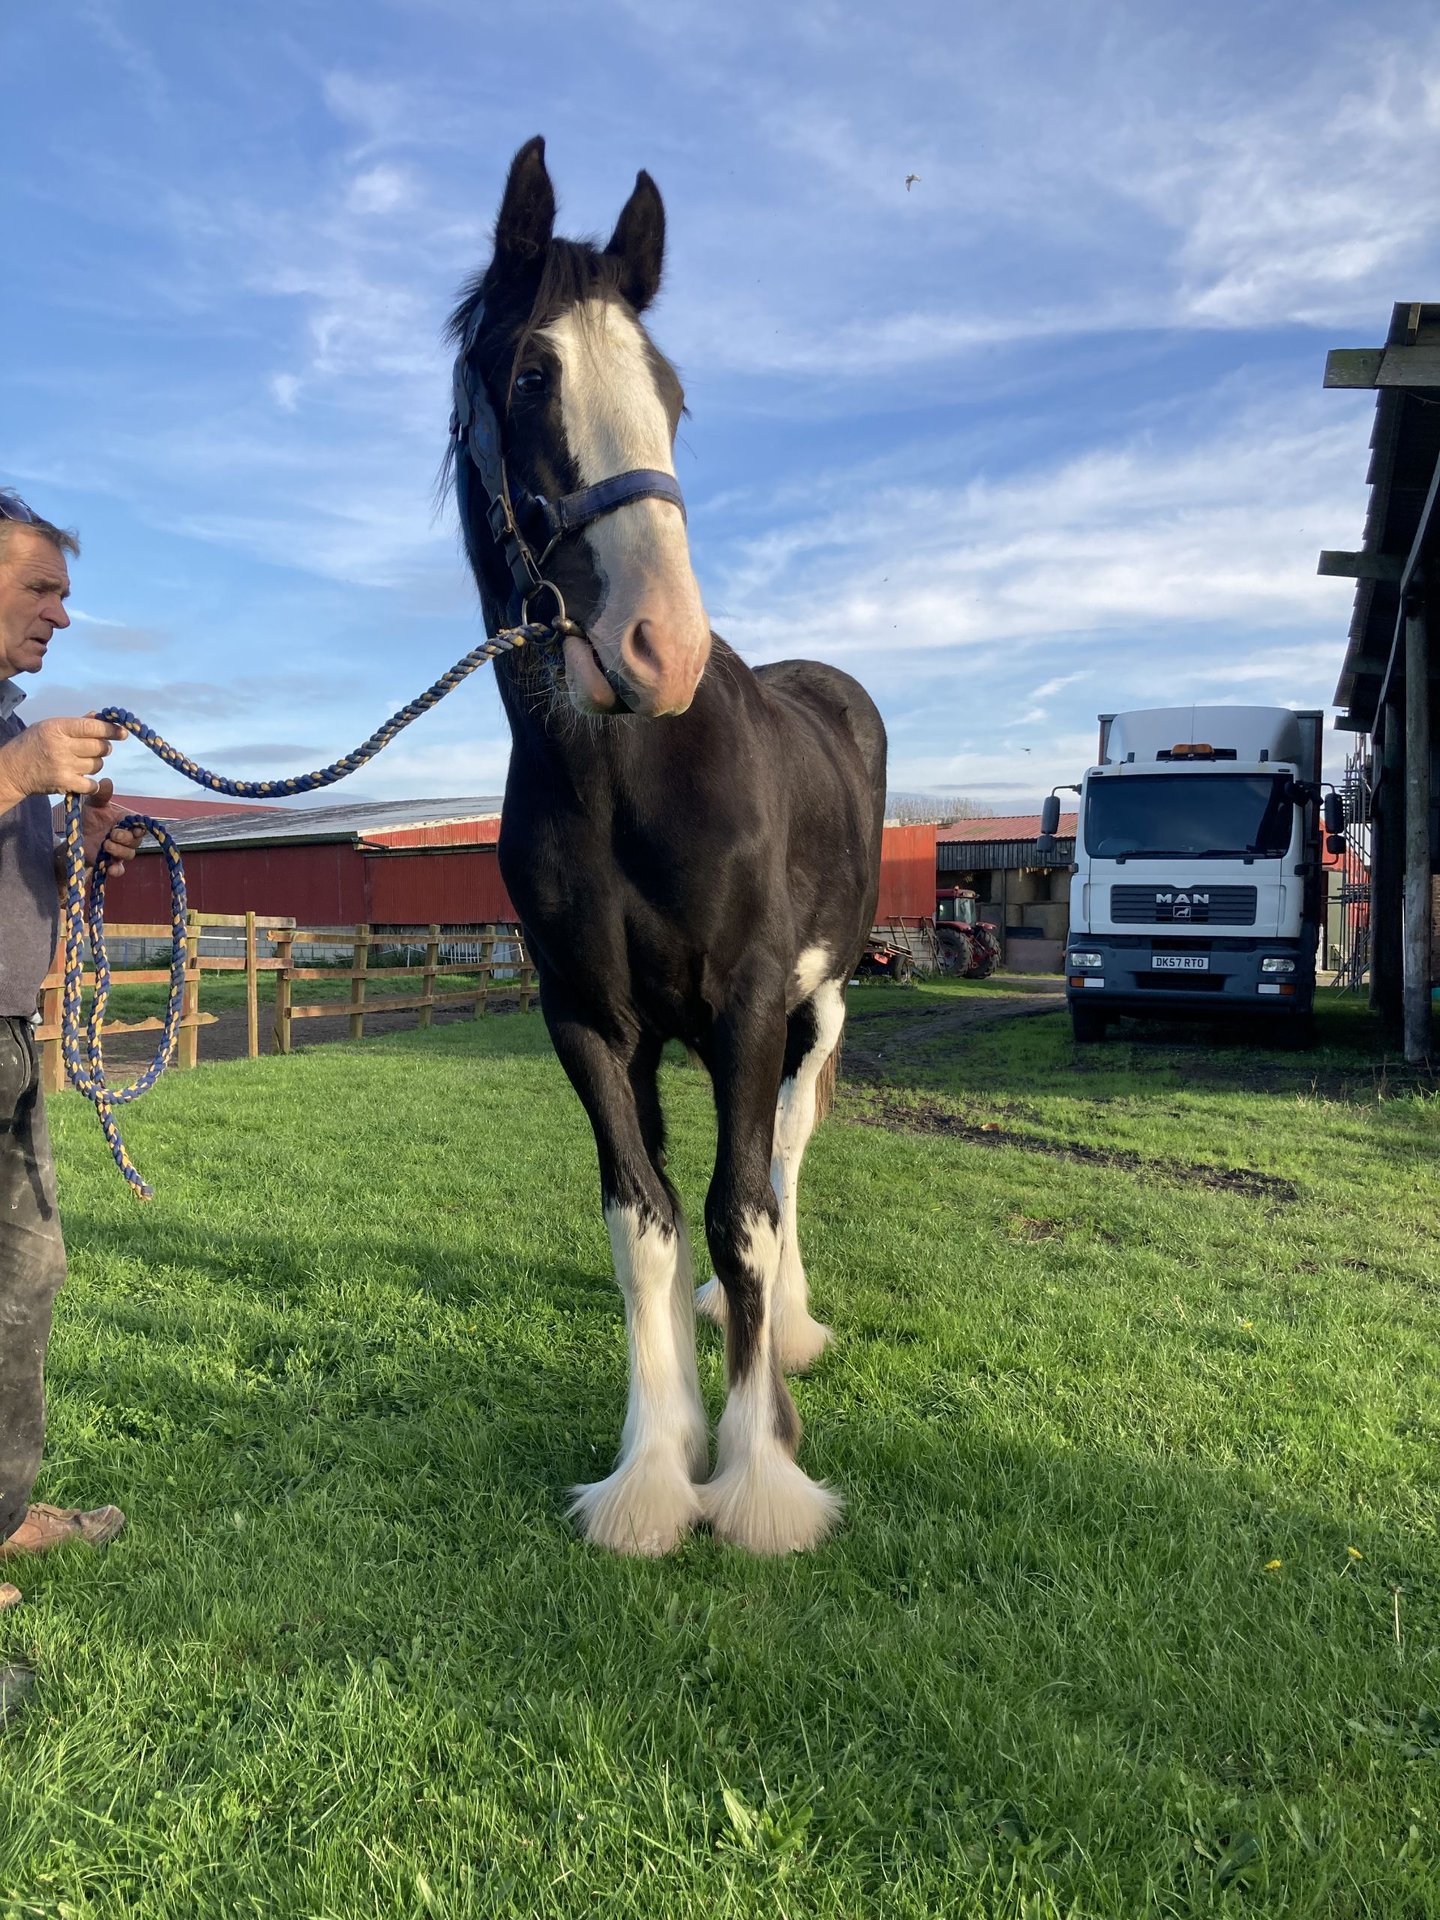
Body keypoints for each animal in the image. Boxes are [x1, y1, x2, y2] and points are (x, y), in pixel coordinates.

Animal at [447, 137, 886, 1556]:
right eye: (532, 375)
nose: (663, 649)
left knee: (787, 1159)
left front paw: (756, 1479)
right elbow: (641, 1222)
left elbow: (739, 1215)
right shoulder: (594, 1023)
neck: (627, 784)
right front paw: (653, 1471)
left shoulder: (747, 1003)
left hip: (819, 1006)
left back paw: (789, 1336)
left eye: (675, 398)